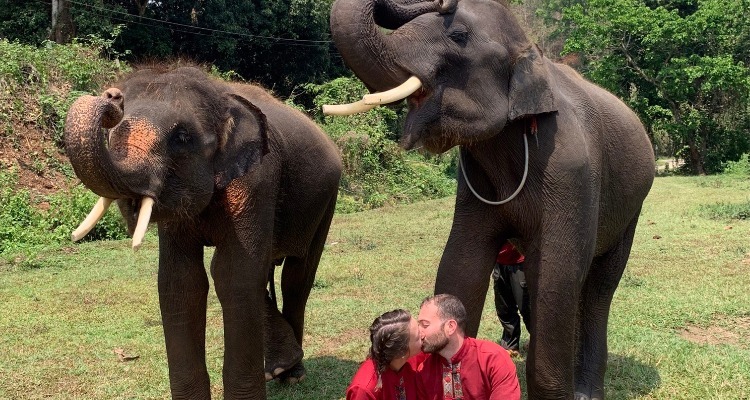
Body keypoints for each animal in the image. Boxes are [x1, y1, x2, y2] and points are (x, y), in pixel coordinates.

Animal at [64, 64, 344, 398]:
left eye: (182, 137)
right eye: (113, 133)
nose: (112, 96)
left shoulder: (257, 181)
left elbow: (233, 275)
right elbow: (181, 281)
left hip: (326, 199)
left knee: (297, 279)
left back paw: (292, 375)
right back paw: (277, 370)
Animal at [326, 0, 656, 398]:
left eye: (458, 36)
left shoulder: (570, 168)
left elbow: (556, 273)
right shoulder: (473, 182)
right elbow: (461, 261)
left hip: (632, 205)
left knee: (598, 288)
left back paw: (585, 391)